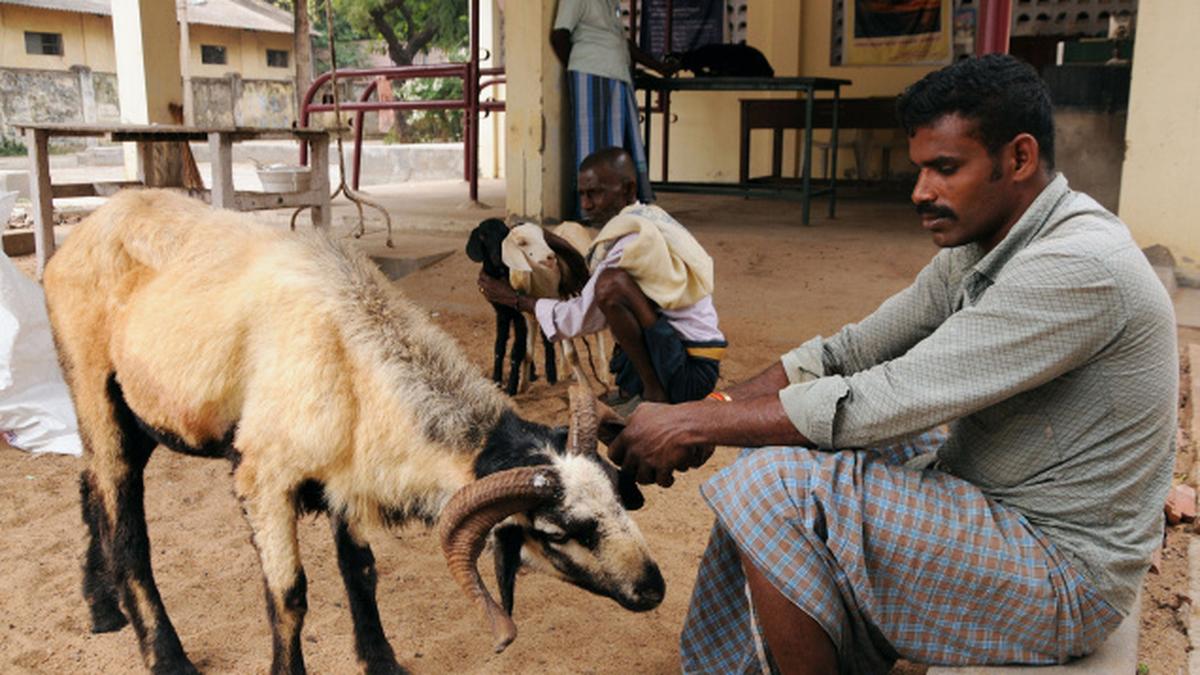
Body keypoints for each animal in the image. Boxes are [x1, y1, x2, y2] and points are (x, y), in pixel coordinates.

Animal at [501, 222, 610, 391]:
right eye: (522, 242)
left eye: (543, 236)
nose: (551, 256)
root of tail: (571, 223)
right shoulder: (531, 317)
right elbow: (528, 354)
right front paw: (523, 386)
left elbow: (572, 354)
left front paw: (586, 386)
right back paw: (564, 373)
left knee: (597, 332)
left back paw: (604, 376)